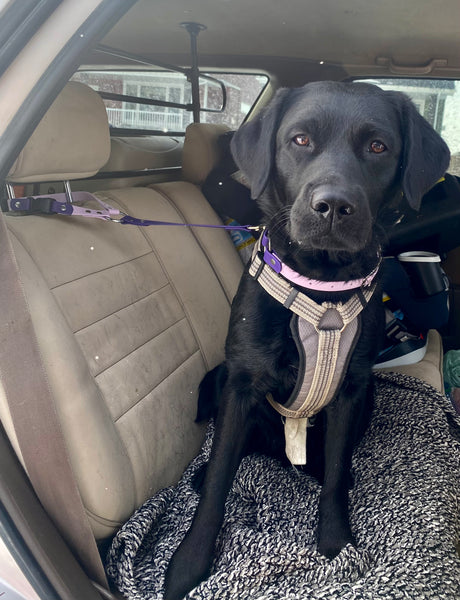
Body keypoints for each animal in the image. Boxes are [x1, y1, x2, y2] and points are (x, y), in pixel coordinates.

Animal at [164, 81, 450, 600]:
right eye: (300, 140)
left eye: (378, 146)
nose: (333, 206)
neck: (322, 287)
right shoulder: (241, 385)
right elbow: (218, 482)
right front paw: (189, 565)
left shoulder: (350, 390)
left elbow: (335, 474)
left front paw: (336, 543)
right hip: (223, 381)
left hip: (368, 398)